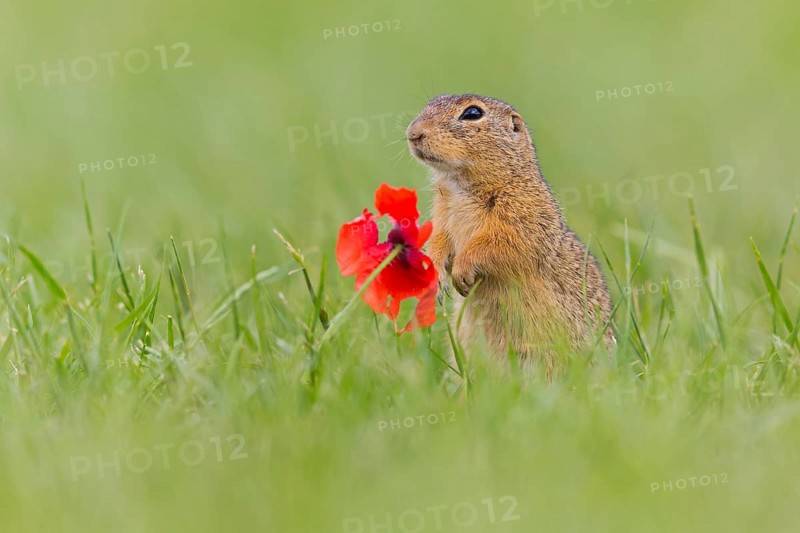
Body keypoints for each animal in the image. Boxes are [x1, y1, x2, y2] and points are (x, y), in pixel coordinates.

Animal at [406, 94, 615, 375]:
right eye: (430, 102)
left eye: (472, 113)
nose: (413, 133)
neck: (461, 185)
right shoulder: (442, 217)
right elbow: (438, 241)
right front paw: (434, 277)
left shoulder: (522, 215)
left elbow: (501, 245)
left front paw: (462, 270)